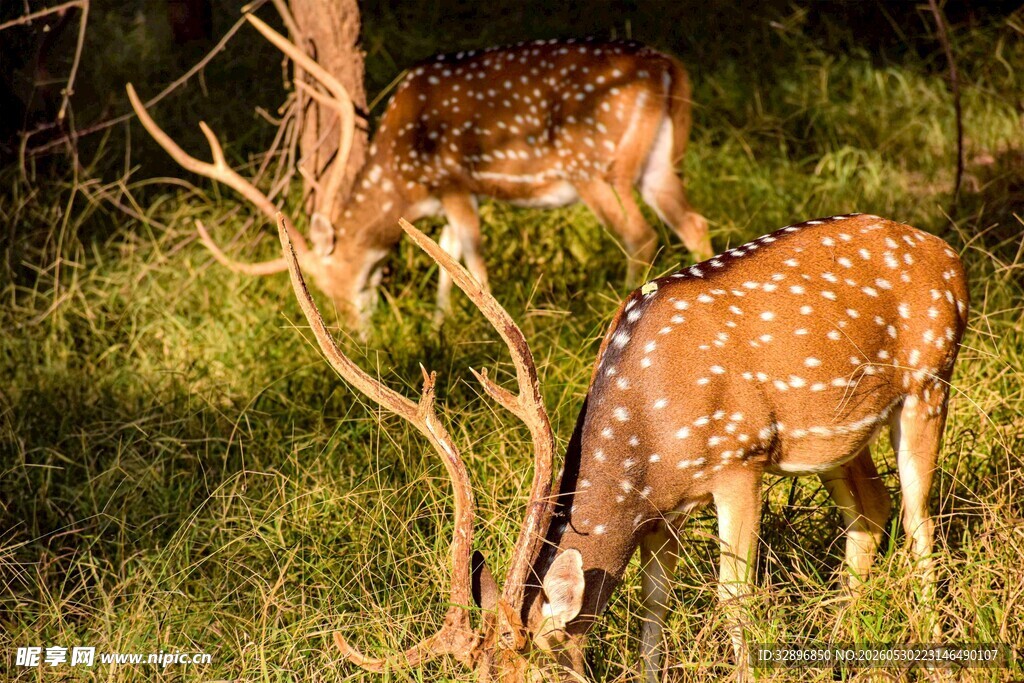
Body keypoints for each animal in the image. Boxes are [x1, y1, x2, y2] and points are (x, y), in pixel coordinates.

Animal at [127, 14, 712, 328]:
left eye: (333, 283)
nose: (352, 331)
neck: (400, 175)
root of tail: (668, 66)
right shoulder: (448, 197)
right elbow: (446, 252)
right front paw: (441, 323)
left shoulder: (454, 180)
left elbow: (470, 252)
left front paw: (484, 327)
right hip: (658, 163)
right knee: (693, 221)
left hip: (595, 165)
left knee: (639, 235)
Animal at [277, 211, 967, 682]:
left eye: (530, 678)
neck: (644, 438)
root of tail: (947, 253)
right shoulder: (663, 511)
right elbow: (652, 608)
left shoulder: (738, 460)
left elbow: (734, 597)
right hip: (839, 436)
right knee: (870, 511)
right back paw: (837, 649)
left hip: (930, 379)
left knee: (918, 520)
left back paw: (936, 657)